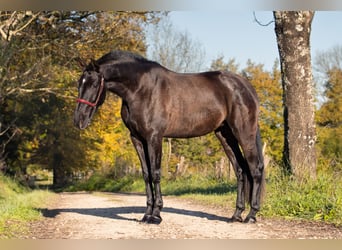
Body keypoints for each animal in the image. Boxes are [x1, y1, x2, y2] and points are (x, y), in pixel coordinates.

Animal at [73, 49, 266, 224]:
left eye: (94, 84)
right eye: (79, 84)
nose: (79, 120)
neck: (140, 88)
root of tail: (246, 86)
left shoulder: (154, 137)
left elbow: (156, 173)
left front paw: (156, 215)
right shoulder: (137, 138)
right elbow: (146, 174)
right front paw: (146, 215)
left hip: (243, 132)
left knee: (255, 169)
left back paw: (251, 215)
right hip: (225, 135)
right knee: (240, 170)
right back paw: (236, 215)